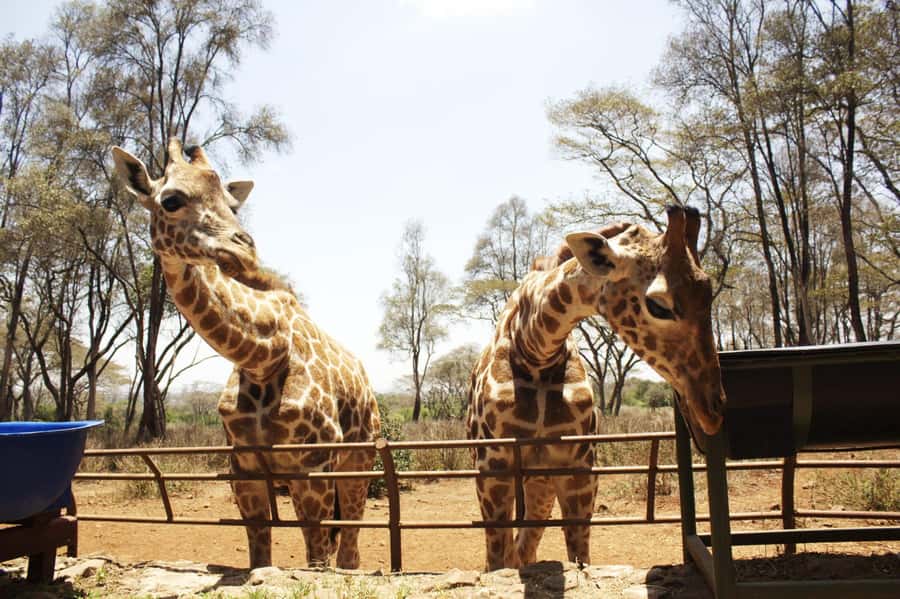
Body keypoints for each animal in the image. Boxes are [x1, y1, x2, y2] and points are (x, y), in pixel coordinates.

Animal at [111, 138, 380, 570]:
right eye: (171, 200)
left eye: (231, 205)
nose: (244, 249)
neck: (262, 356)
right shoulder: (245, 472)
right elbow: (259, 556)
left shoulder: (313, 468)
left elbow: (317, 557)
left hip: (359, 459)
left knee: (350, 550)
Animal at [467, 205, 725, 570]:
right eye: (658, 306)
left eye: (709, 295)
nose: (713, 409)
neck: (534, 349)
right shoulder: (493, 469)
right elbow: (495, 562)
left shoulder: (579, 468)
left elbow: (580, 556)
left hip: (540, 482)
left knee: (525, 548)